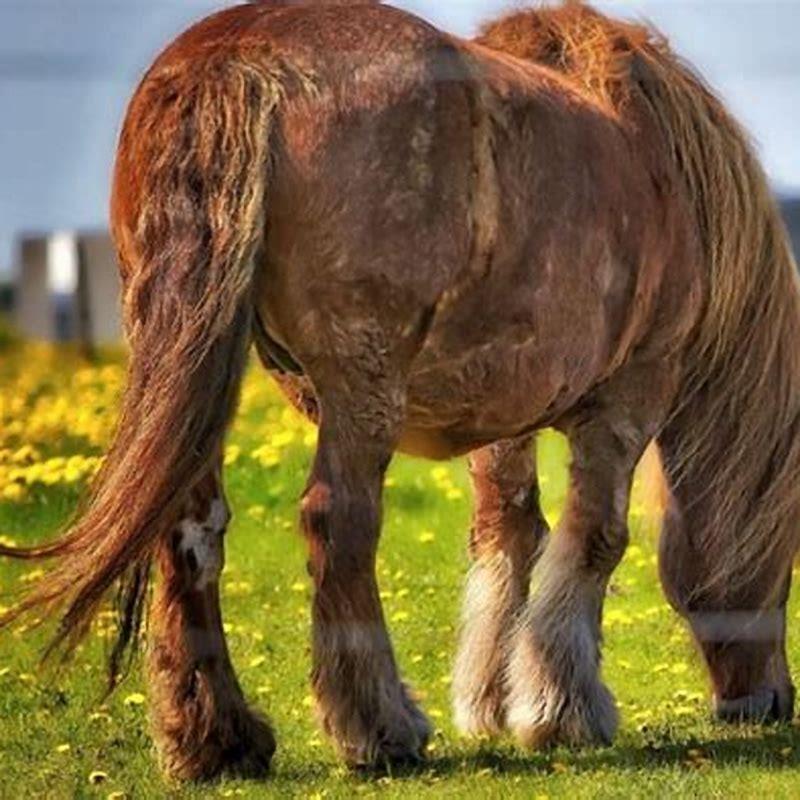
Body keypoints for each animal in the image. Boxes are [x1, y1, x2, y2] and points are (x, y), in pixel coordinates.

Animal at [2, 0, 799, 780]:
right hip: (363, 384)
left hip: (201, 365)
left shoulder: (504, 409)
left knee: (192, 531)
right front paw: (563, 709)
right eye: (788, 560)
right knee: (337, 524)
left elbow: (510, 532)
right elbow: (594, 538)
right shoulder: (631, 395)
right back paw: (379, 728)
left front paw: (493, 700)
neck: (667, 174)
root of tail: (234, 62)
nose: (769, 702)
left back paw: (219, 742)